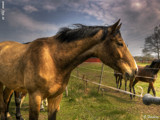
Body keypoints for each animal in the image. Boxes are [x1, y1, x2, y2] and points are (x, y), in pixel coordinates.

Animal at [0, 19, 138, 120]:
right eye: (119, 43)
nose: (135, 70)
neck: (53, 59)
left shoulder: (55, 97)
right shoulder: (35, 97)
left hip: (10, 84)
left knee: (5, 98)